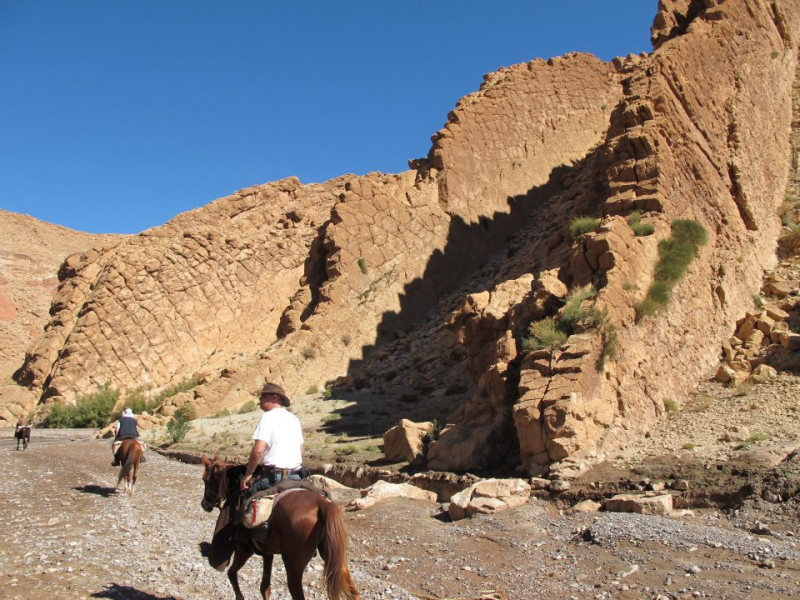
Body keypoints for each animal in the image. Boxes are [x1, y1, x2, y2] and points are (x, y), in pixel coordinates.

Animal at [200, 454, 360, 600]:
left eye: (205, 479)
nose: (204, 504)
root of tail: (323, 504)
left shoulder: (243, 548)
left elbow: (231, 574)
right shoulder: (267, 552)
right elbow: (264, 588)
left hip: (293, 568)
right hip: (335, 556)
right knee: (354, 592)